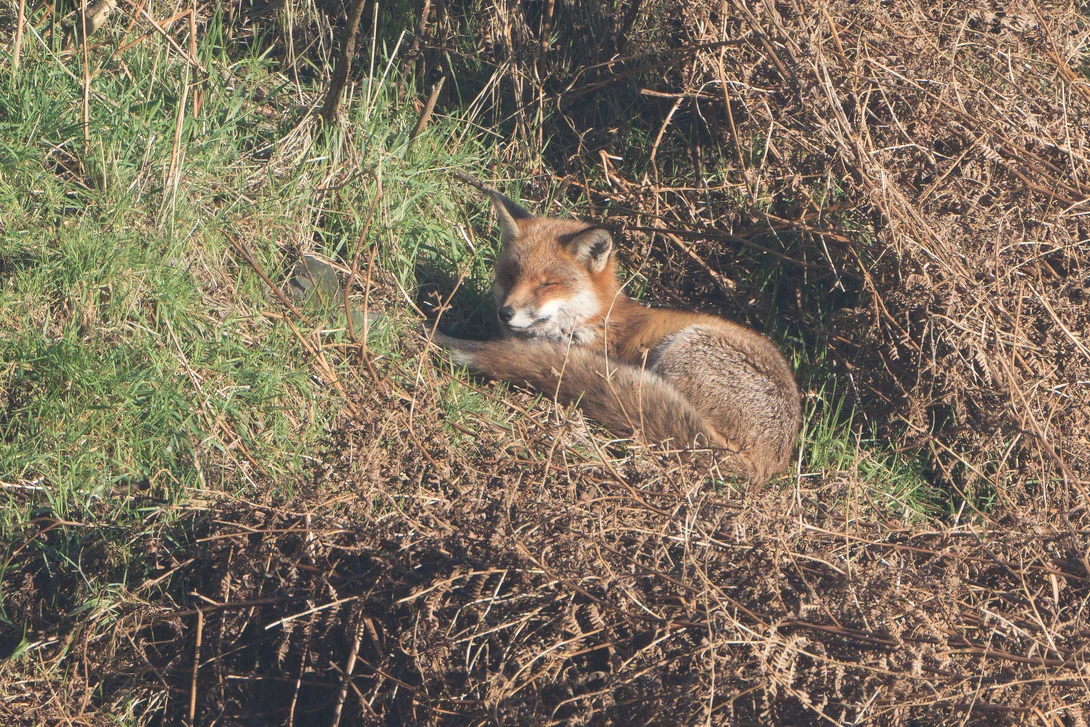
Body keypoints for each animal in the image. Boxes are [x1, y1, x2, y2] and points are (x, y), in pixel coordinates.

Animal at [428, 181, 802, 483]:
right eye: (509, 276)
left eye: (547, 284)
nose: (505, 313)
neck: (592, 321)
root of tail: (766, 461)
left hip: (681, 349)